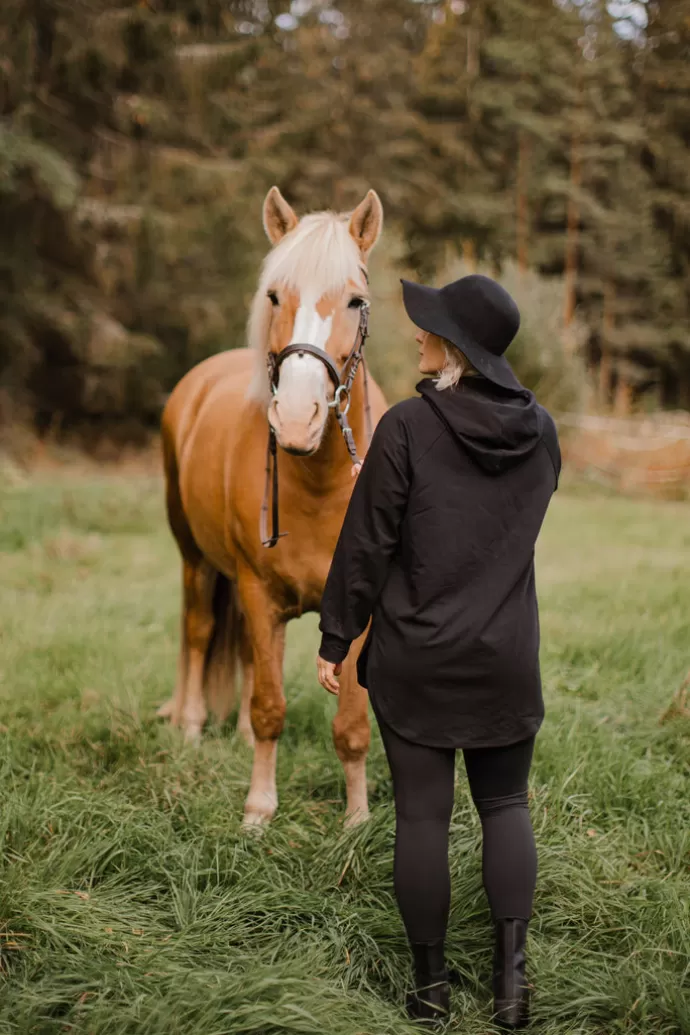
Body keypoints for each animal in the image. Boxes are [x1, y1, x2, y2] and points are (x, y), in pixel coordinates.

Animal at [158, 190, 391, 828]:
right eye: (273, 296)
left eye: (356, 300)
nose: (294, 420)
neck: (320, 482)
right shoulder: (259, 592)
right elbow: (270, 707)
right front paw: (259, 809)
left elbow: (352, 724)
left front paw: (357, 818)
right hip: (194, 560)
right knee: (197, 633)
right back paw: (191, 727)